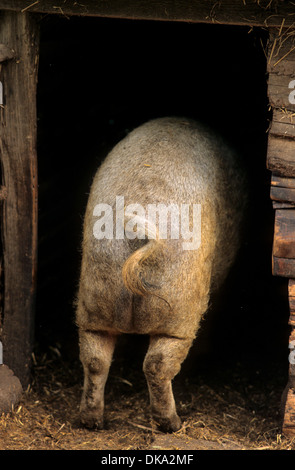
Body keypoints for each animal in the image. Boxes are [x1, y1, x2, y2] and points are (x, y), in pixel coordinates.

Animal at [75, 116, 247, 434]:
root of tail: (141, 227)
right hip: (180, 306)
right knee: (157, 364)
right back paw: (173, 424)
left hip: (94, 296)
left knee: (95, 359)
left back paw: (92, 422)